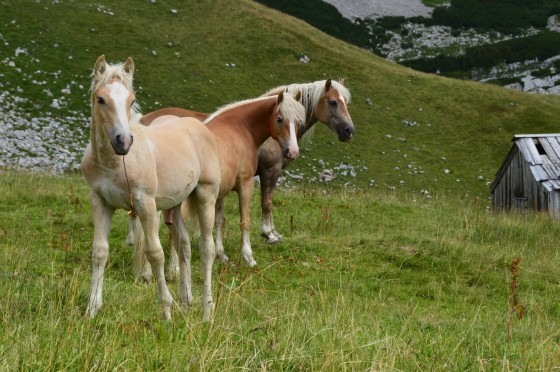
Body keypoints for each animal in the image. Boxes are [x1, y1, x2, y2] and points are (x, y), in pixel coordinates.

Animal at [81, 55, 221, 320]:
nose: (123, 141)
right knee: (184, 244)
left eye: (132, 100)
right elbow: (99, 252)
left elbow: (155, 254)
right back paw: (186, 300)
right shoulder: (99, 202)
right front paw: (91, 309)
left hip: (206, 194)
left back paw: (207, 311)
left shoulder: (145, 204)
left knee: (206, 248)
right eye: (100, 99)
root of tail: (199, 126)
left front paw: (166, 310)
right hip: (175, 203)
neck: (114, 162)